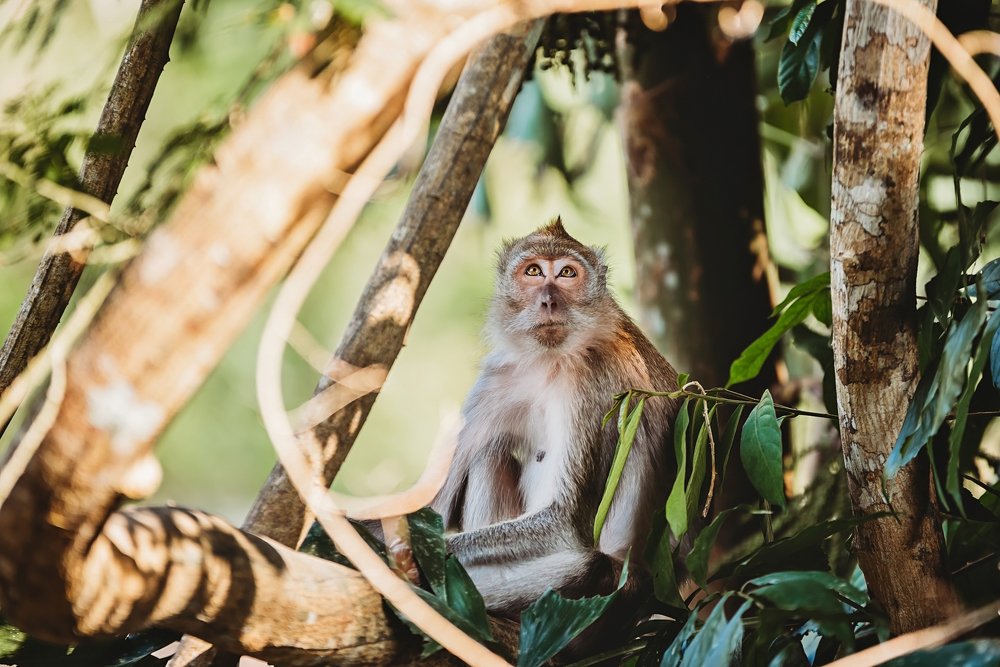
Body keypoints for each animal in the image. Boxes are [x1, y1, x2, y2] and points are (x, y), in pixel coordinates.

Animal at [431, 217, 680, 618]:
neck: (553, 362)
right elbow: (433, 510)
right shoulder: (498, 377)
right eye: (533, 271)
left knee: (590, 566)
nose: (548, 300)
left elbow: (565, 525)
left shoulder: (597, 382)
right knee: (488, 454)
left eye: (566, 273)